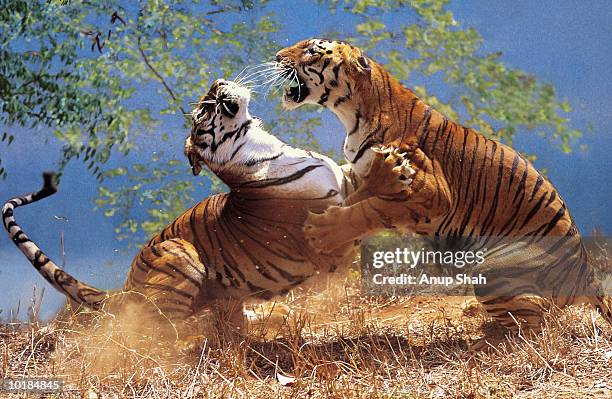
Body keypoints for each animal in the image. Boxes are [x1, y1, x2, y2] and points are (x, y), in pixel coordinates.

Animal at [3, 79, 358, 340]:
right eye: (204, 107)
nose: (217, 81)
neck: (265, 149)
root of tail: (125, 288)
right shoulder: (327, 228)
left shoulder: (344, 180)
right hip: (180, 254)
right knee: (156, 334)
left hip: (227, 295)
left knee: (229, 326)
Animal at [274, 39, 612, 332]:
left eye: (312, 50)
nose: (276, 57)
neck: (353, 115)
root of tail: (586, 271)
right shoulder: (361, 174)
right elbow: (355, 196)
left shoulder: (430, 193)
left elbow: (369, 210)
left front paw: (322, 232)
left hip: (491, 270)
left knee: (536, 321)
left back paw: (484, 342)